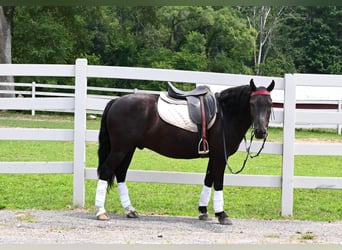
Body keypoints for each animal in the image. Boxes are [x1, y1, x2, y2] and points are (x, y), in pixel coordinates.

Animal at [94, 78, 276, 225]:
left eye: (270, 104)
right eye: (252, 104)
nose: (260, 132)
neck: (225, 114)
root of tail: (116, 101)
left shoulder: (213, 156)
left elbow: (208, 180)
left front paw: (203, 212)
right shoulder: (220, 156)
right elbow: (218, 182)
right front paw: (222, 215)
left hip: (128, 149)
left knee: (121, 174)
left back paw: (130, 210)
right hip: (120, 149)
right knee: (106, 170)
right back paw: (101, 211)